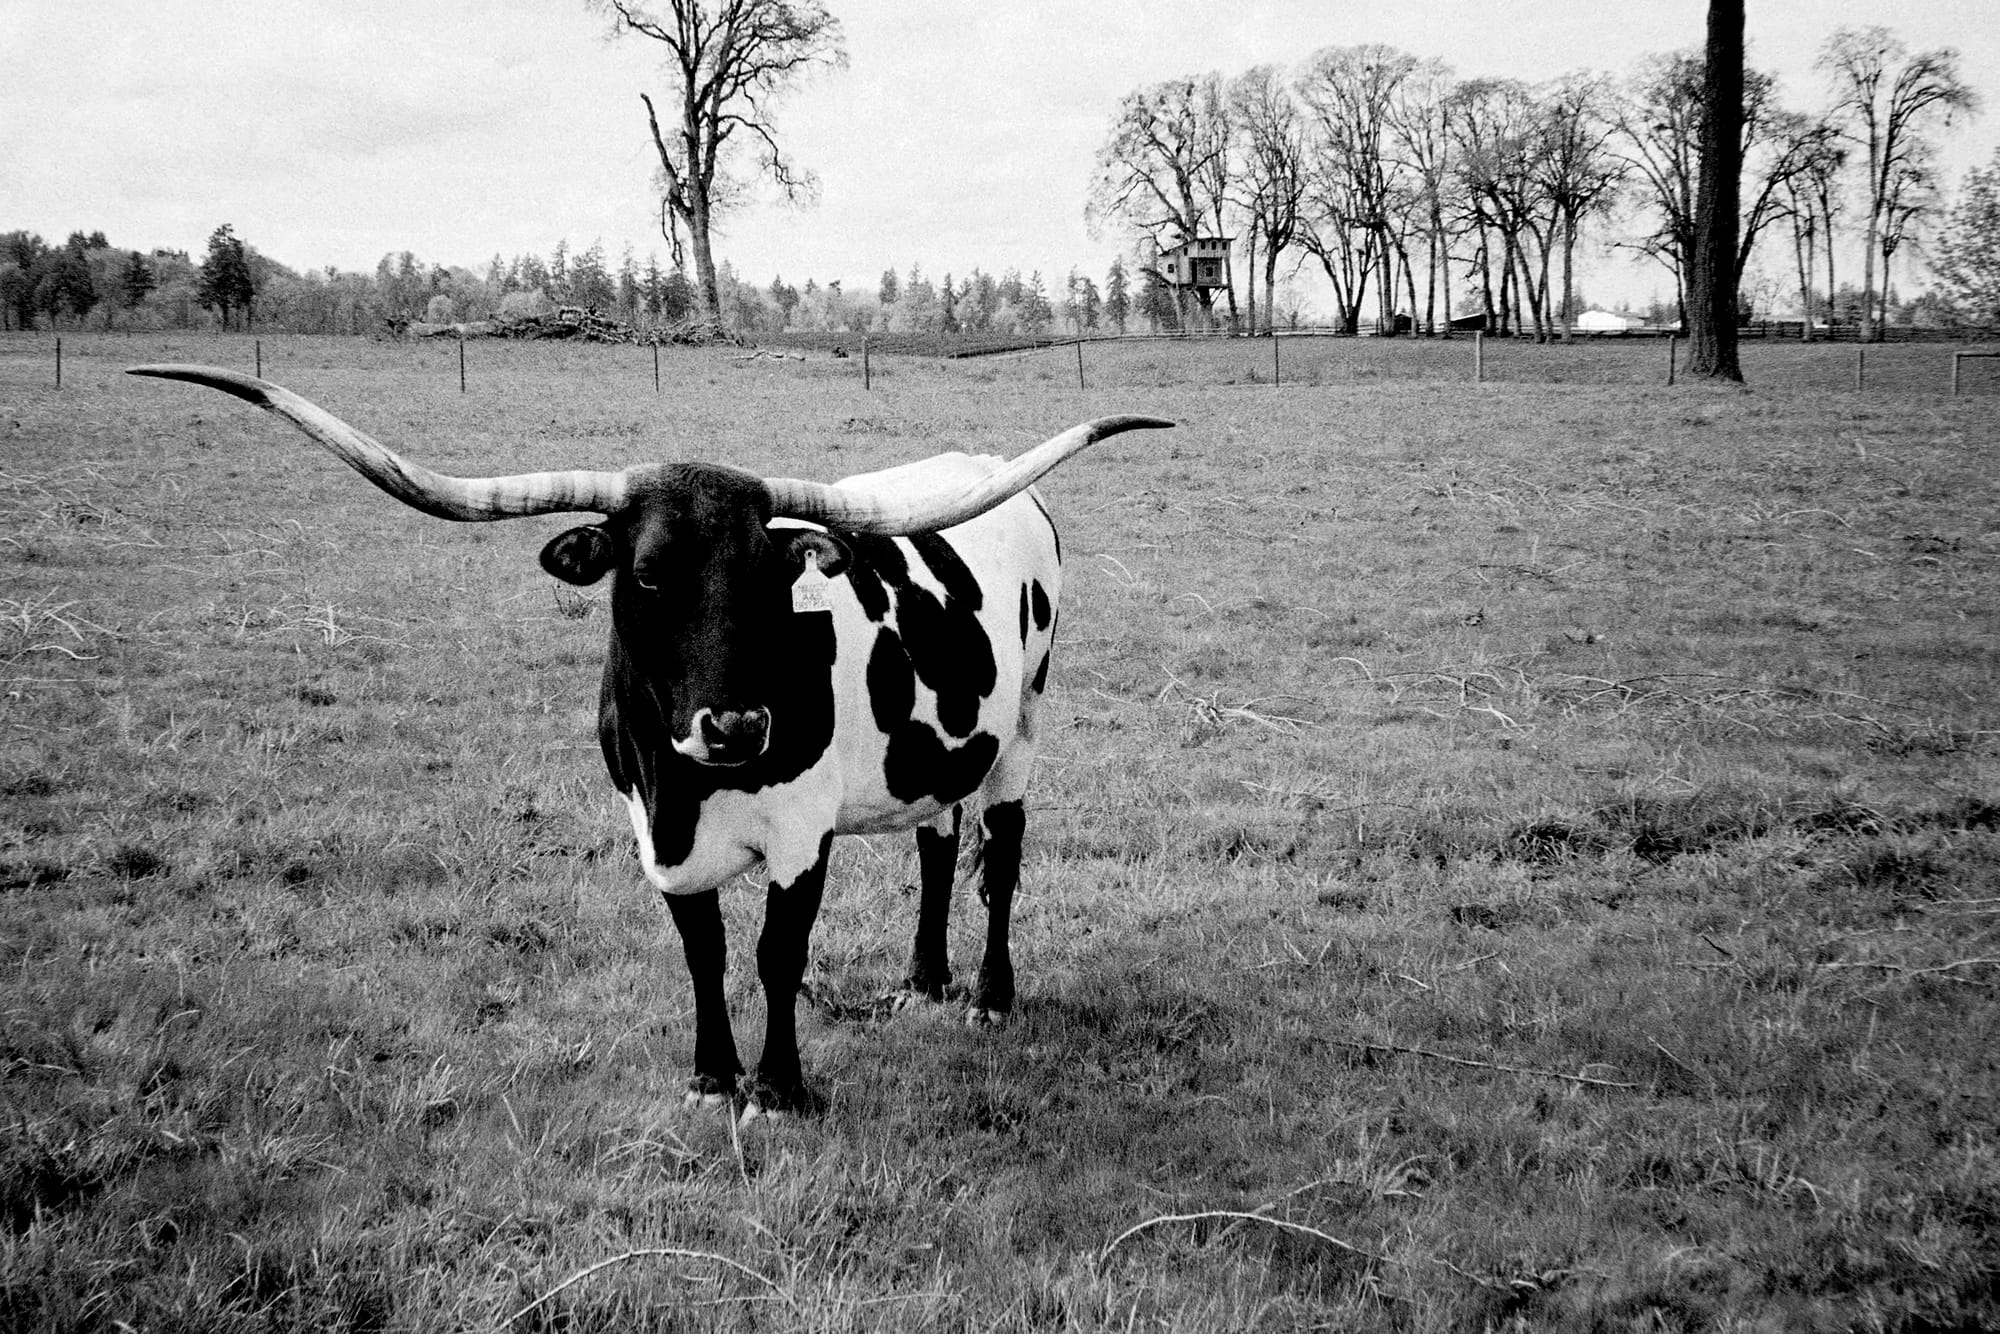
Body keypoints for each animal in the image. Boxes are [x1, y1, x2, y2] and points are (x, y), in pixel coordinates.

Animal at [127, 364, 1172, 1118]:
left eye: (769, 579)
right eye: (649, 574)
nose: (738, 726)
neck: (682, 785)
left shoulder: (801, 834)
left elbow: (776, 955)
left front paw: (778, 1088)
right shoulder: (655, 839)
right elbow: (703, 954)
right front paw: (712, 1075)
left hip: (1023, 724)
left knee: (1002, 854)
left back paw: (990, 993)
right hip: (936, 743)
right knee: (937, 840)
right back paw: (924, 979)